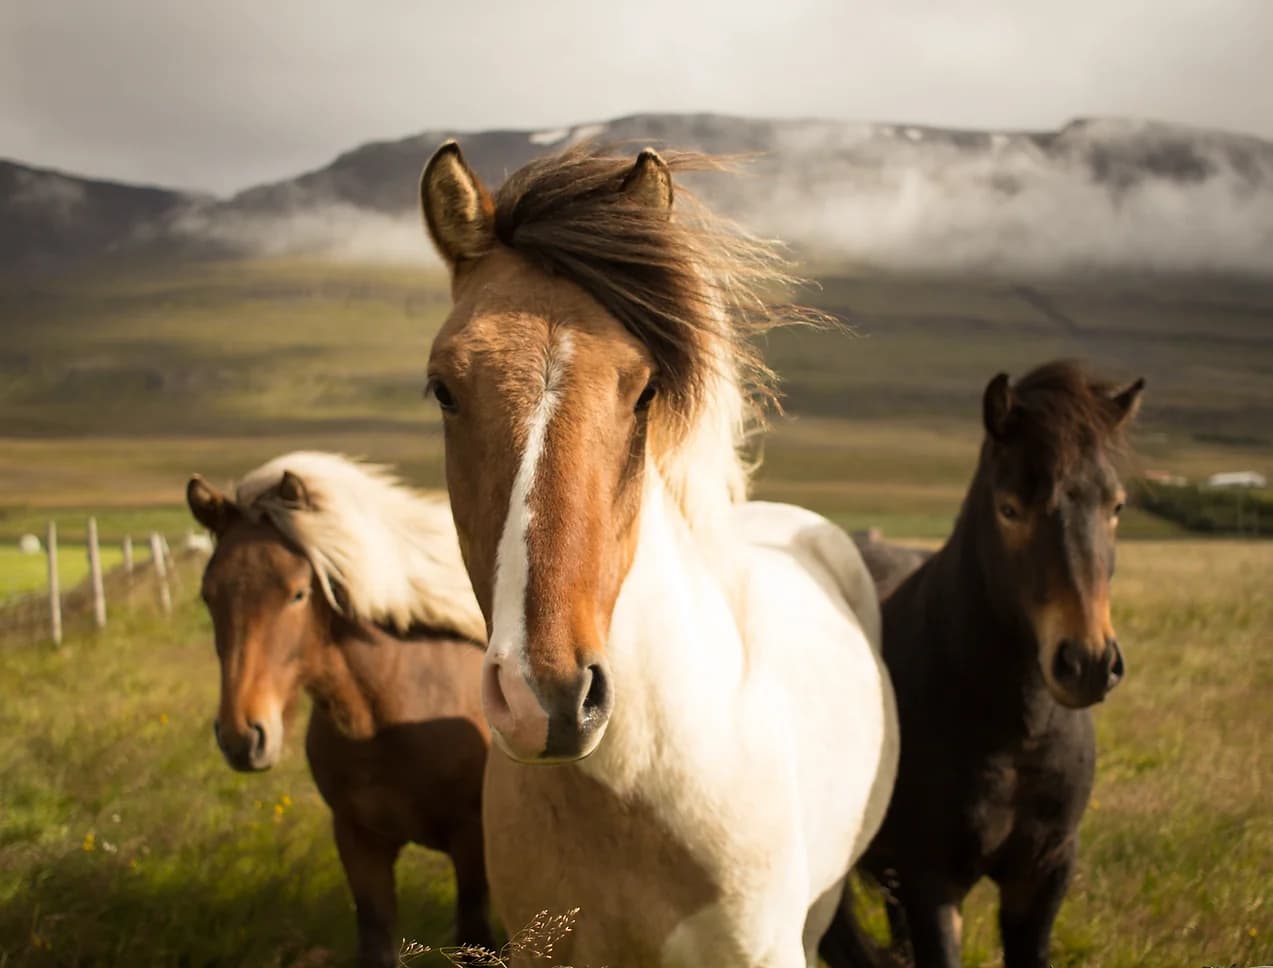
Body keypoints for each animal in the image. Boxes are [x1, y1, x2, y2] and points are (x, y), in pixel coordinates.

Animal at [185, 453, 493, 968]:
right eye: (209, 595)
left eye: (297, 593)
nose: (242, 737)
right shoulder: (357, 840)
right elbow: (376, 939)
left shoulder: (472, 842)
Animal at [824, 361, 1145, 968]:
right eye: (1010, 508)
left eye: (1115, 506)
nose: (1087, 662)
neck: (1016, 734)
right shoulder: (932, 882)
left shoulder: (1043, 875)